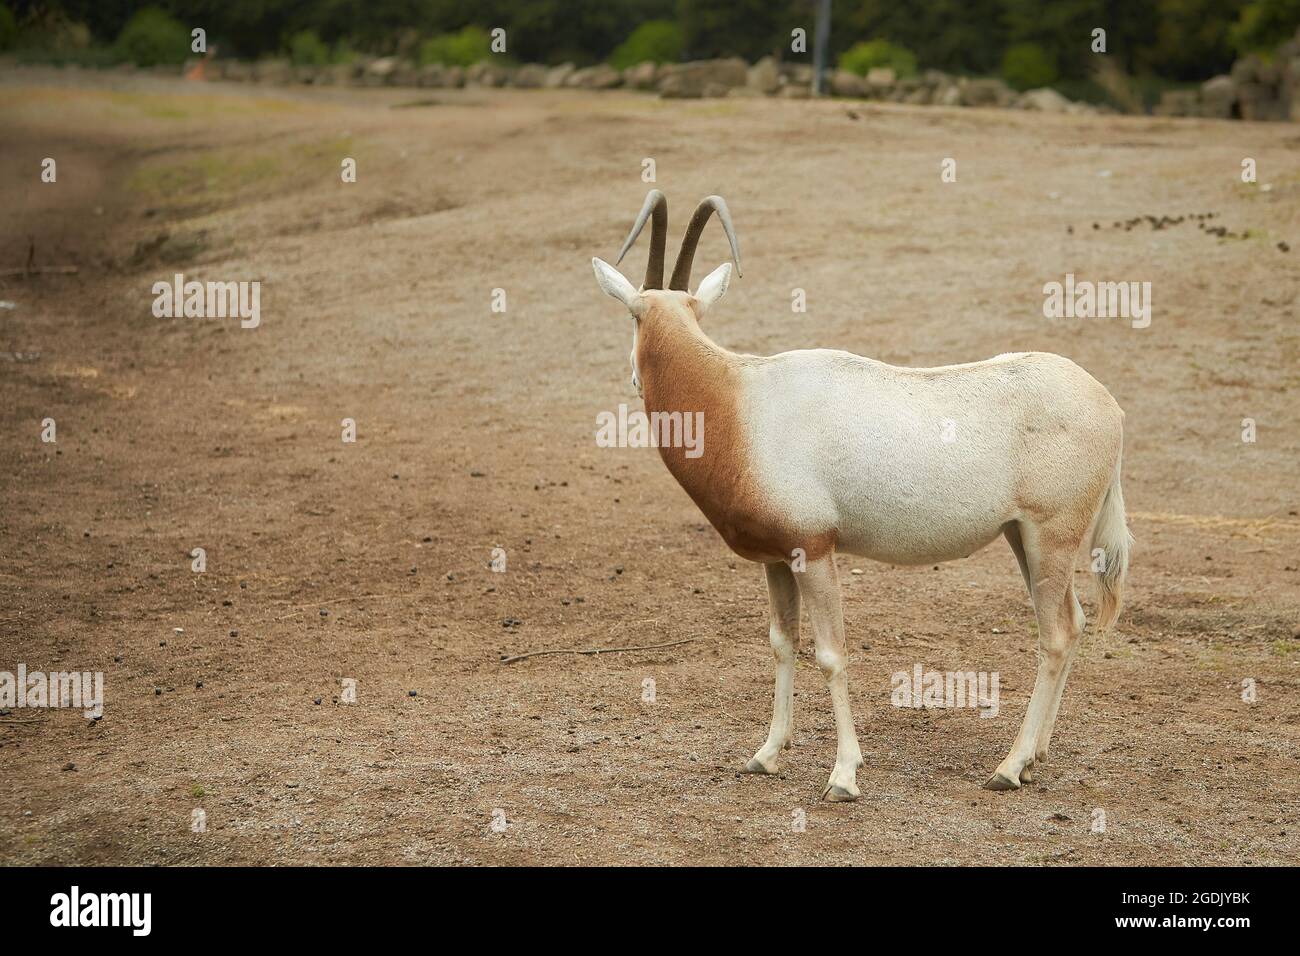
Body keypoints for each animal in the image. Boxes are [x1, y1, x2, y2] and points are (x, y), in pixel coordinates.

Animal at [595, 191, 1133, 806]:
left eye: (635, 316)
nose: (633, 379)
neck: (736, 399)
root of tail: (1109, 405)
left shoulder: (815, 550)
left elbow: (830, 655)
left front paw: (843, 776)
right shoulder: (778, 559)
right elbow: (782, 643)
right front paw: (766, 755)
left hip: (1052, 535)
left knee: (1057, 634)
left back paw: (1009, 766)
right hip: (1025, 538)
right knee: (1074, 623)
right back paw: (1037, 755)